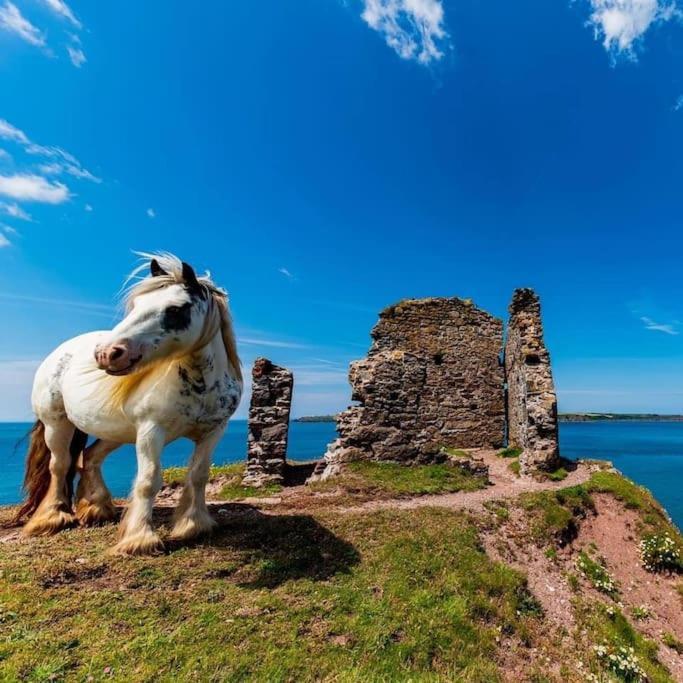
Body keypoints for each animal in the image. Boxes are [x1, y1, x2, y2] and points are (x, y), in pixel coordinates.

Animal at [13, 252, 244, 556]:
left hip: (116, 431)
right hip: (57, 425)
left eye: (175, 309)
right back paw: (53, 517)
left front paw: (193, 525)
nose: (106, 354)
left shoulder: (214, 432)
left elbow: (198, 475)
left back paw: (98, 508)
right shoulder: (151, 431)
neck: (200, 385)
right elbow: (148, 482)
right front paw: (140, 539)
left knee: (90, 457)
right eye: (136, 306)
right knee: (59, 465)